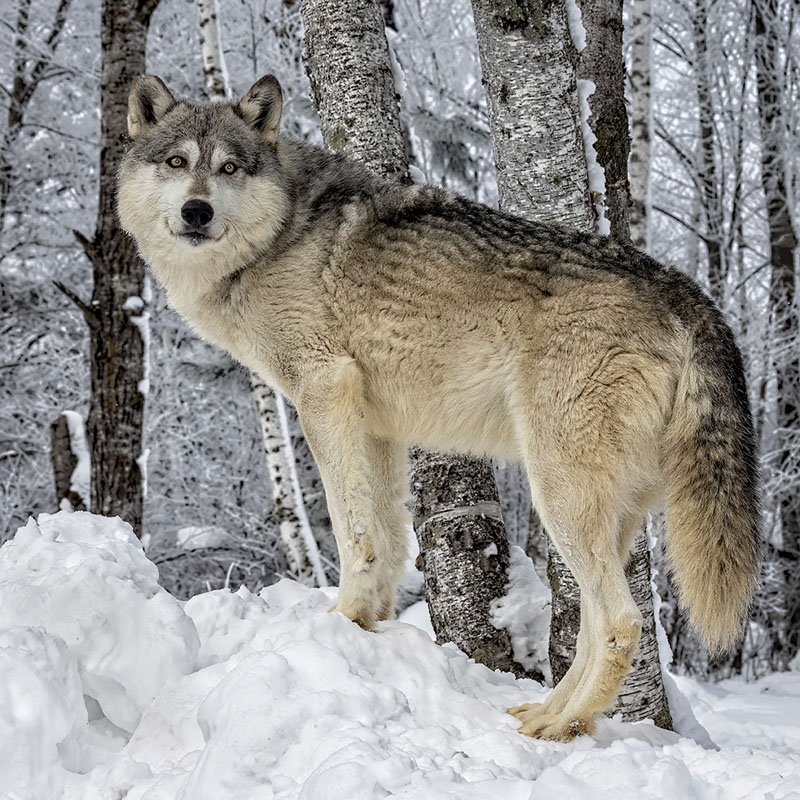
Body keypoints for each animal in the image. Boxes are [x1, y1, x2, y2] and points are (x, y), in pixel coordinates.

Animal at [117, 75, 760, 742]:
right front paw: (368, 624)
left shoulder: (323, 392)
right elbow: (386, 536)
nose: (197, 211)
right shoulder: (375, 427)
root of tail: (685, 290)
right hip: (600, 513)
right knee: (590, 622)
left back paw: (560, 727)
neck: (279, 236)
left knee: (621, 621)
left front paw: (342, 618)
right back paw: (548, 711)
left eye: (229, 168)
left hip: (559, 497)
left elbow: (352, 531)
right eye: (176, 163)